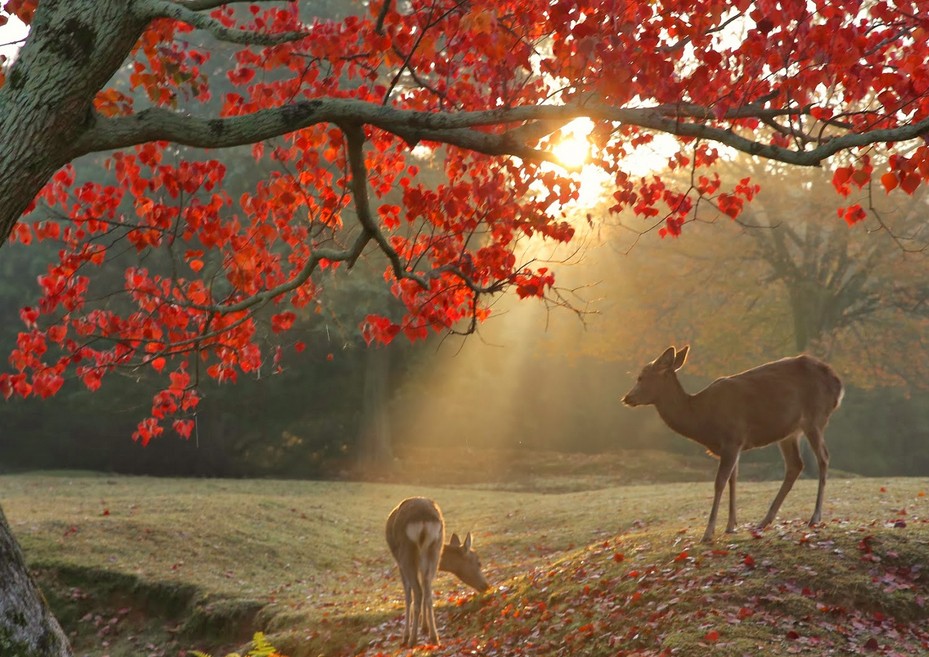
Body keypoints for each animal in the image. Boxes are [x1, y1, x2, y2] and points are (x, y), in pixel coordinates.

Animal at [384, 498, 490, 644]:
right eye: (479, 563)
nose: (486, 586)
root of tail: (424, 521)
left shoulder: (399, 562)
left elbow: (408, 595)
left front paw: (407, 635)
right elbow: (424, 588)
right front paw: (424, 627)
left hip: (407, 553)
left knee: (418, 591)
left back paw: (412, 639)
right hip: (434, 551)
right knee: (427, 590)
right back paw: (433, 636)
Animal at [620, 346, 844, 540]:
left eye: (641, 377)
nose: (627, 398)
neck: (702, 419)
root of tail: (838, 384)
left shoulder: (732, 438)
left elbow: (720, 481)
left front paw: (708, 532)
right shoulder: (733, 445)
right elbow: (733, 479)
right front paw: (730, 526)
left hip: (815, 417)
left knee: (823, 458)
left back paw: (815, 517)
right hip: (789, 432)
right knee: (795, 465)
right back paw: (764, 521)